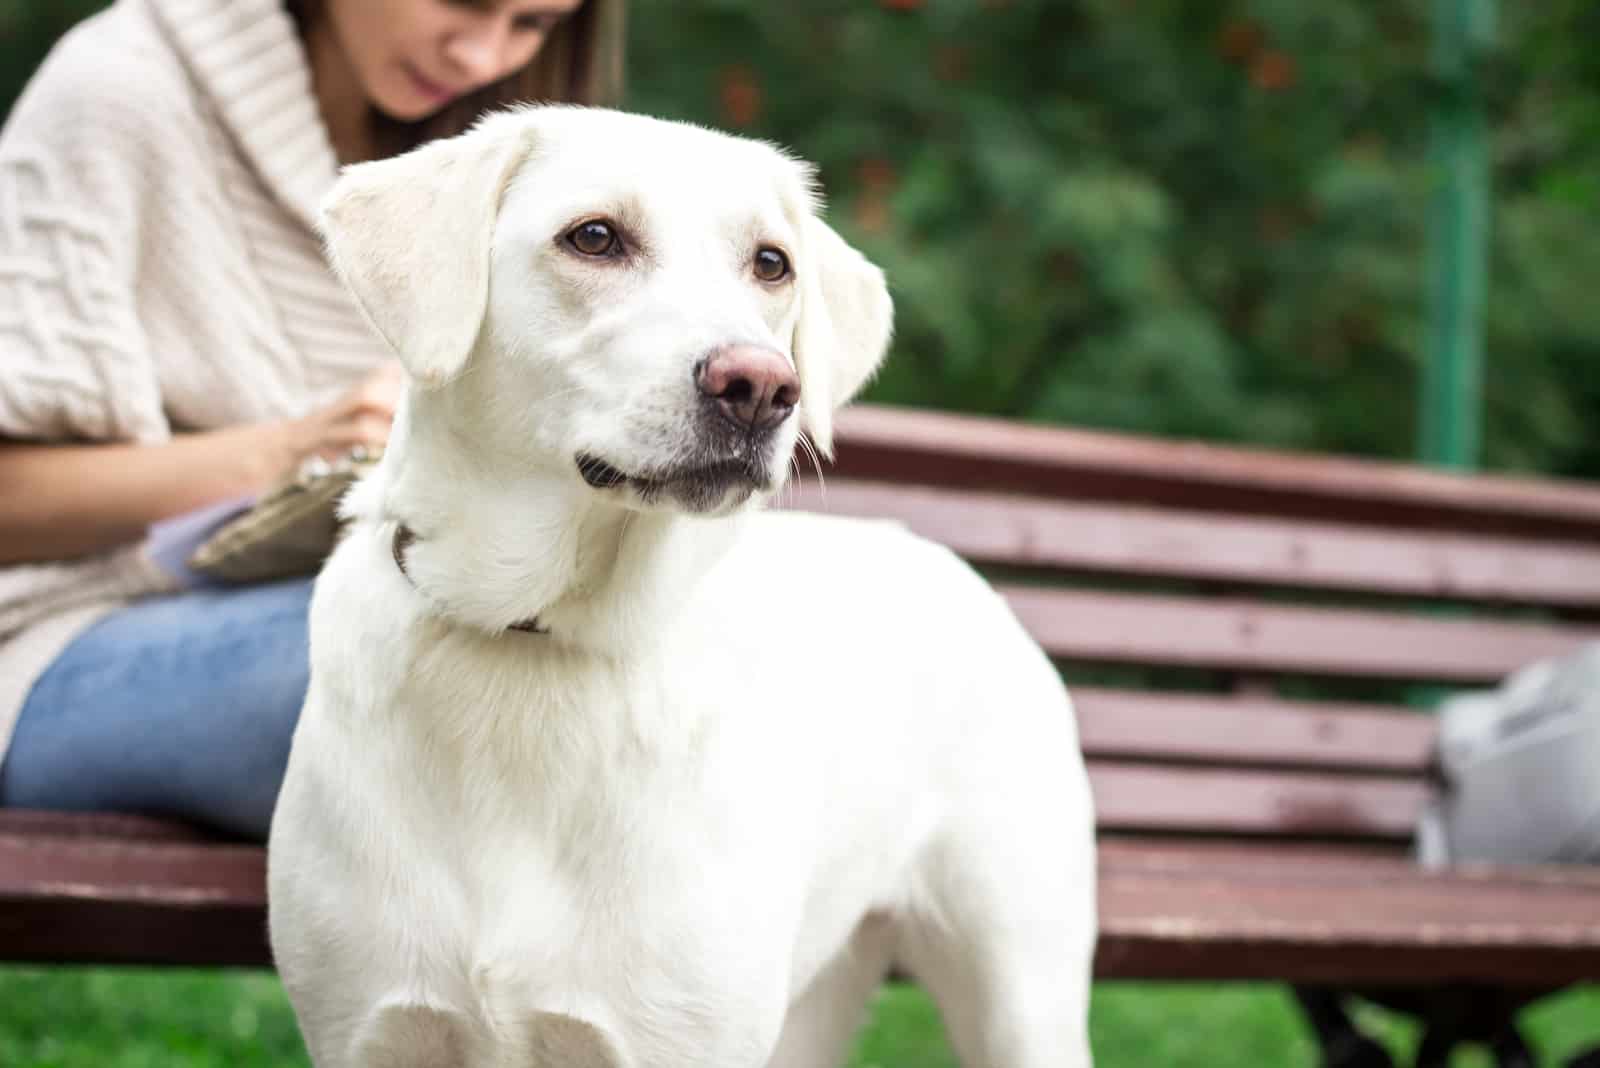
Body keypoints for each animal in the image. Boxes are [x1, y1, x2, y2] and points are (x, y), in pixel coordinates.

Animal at [272, 102, 1100, 1068]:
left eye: (772, 263)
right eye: (593, 236)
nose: (762, 387)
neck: (537, 632)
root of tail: (948, 560)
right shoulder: (366, 1027)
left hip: (1020, 991)